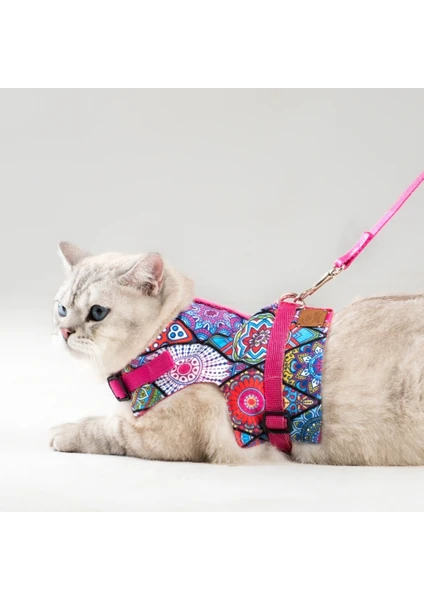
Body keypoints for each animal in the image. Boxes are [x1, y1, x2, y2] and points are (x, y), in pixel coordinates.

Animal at [51, 242, 424, 466]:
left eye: (98, 312)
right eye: (62, 308)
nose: (65, 332)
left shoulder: (160, 438)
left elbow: (105, 430)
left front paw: (63, 432)